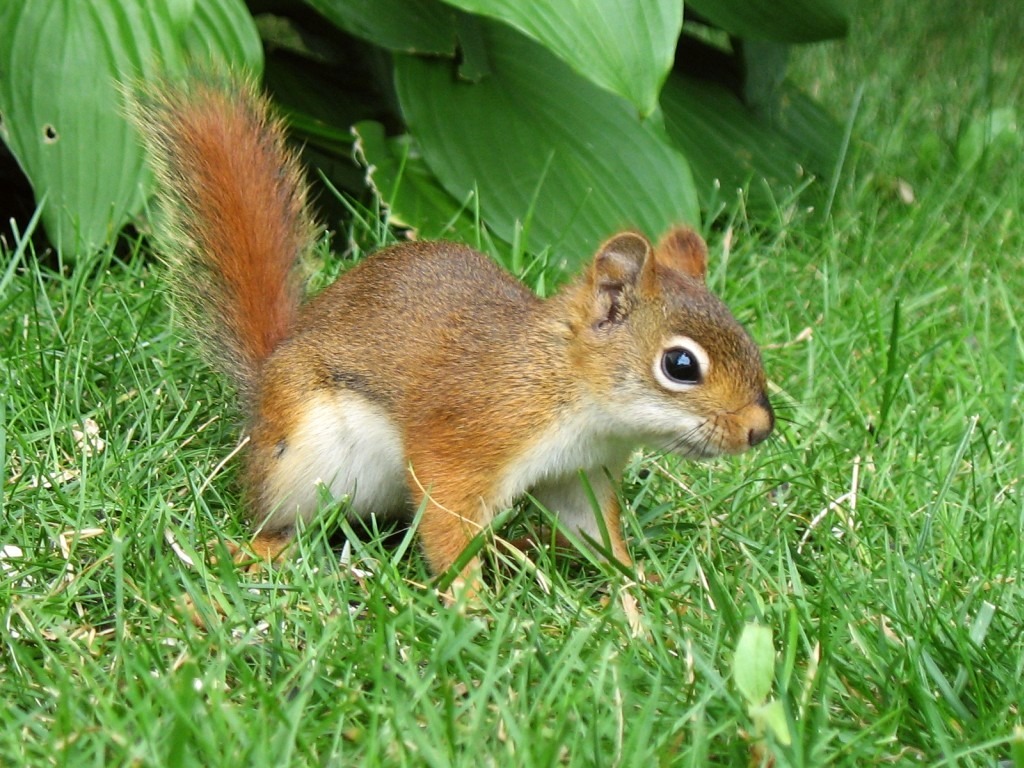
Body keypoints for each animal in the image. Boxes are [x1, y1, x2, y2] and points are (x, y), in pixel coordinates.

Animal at [132, 76, 774, 593]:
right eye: (681, 366)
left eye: (745, 335)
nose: (760, 430)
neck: (568, 386)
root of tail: (266, 375)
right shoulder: (466, 441)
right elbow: (449, 525)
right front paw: (473, 609)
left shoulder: (578, 473)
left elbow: (594, 535)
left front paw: (645, 589)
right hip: (304, 457)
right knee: (280, 518)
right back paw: (259, 550)